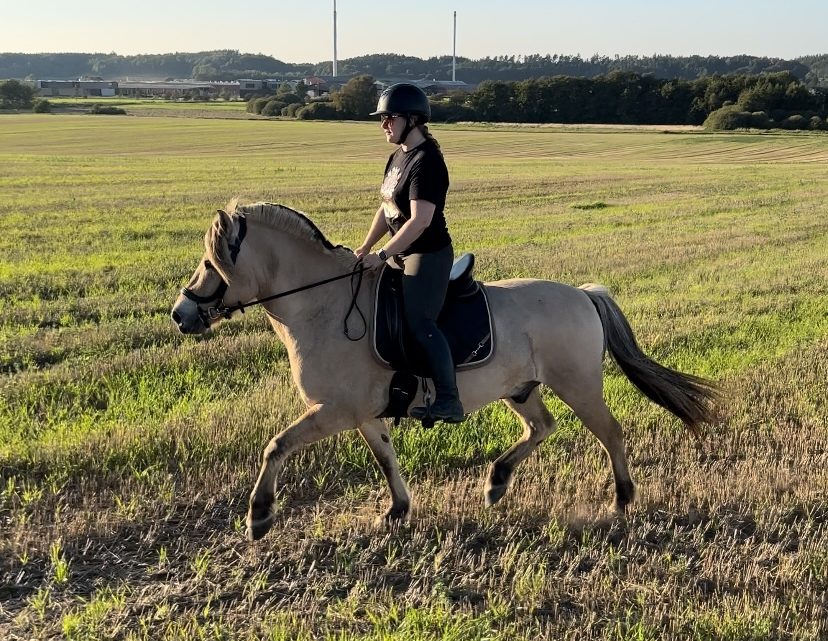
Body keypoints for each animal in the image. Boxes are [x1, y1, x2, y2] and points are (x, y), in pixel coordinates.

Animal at [170, 201, 720, 540]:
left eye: (211, 262)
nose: (181, 314)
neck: (321, 305)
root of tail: (585, 295)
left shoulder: (336, 410)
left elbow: (276, 446)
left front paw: (259, 517)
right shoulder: (366, 414)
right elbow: (386, 460)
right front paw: (397, 510)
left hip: (578, 384)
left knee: (610, 432)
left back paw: (622, 501)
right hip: (522, 388)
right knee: (542, 427)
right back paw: (496, 482)